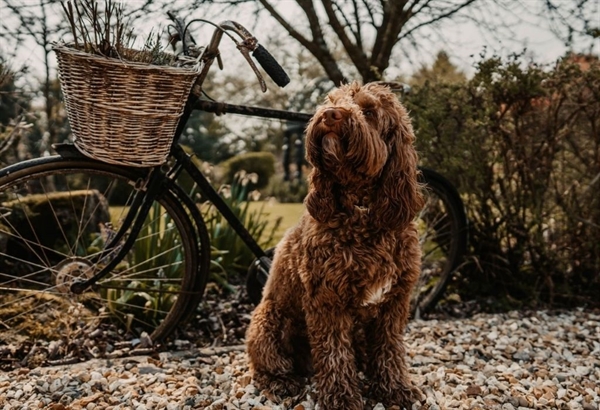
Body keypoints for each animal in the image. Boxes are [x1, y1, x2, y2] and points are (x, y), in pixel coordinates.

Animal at [246, 81, 424, 408]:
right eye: (330, 101)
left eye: (369, 111)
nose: (330, 115)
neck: (362, 212)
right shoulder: (327, 300)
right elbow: (334, 354)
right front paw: (342, 398)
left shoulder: (394, 302)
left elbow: (389, 348)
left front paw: (396, 389)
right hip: (268, 322)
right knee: (265, 366)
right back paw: (282, 383)